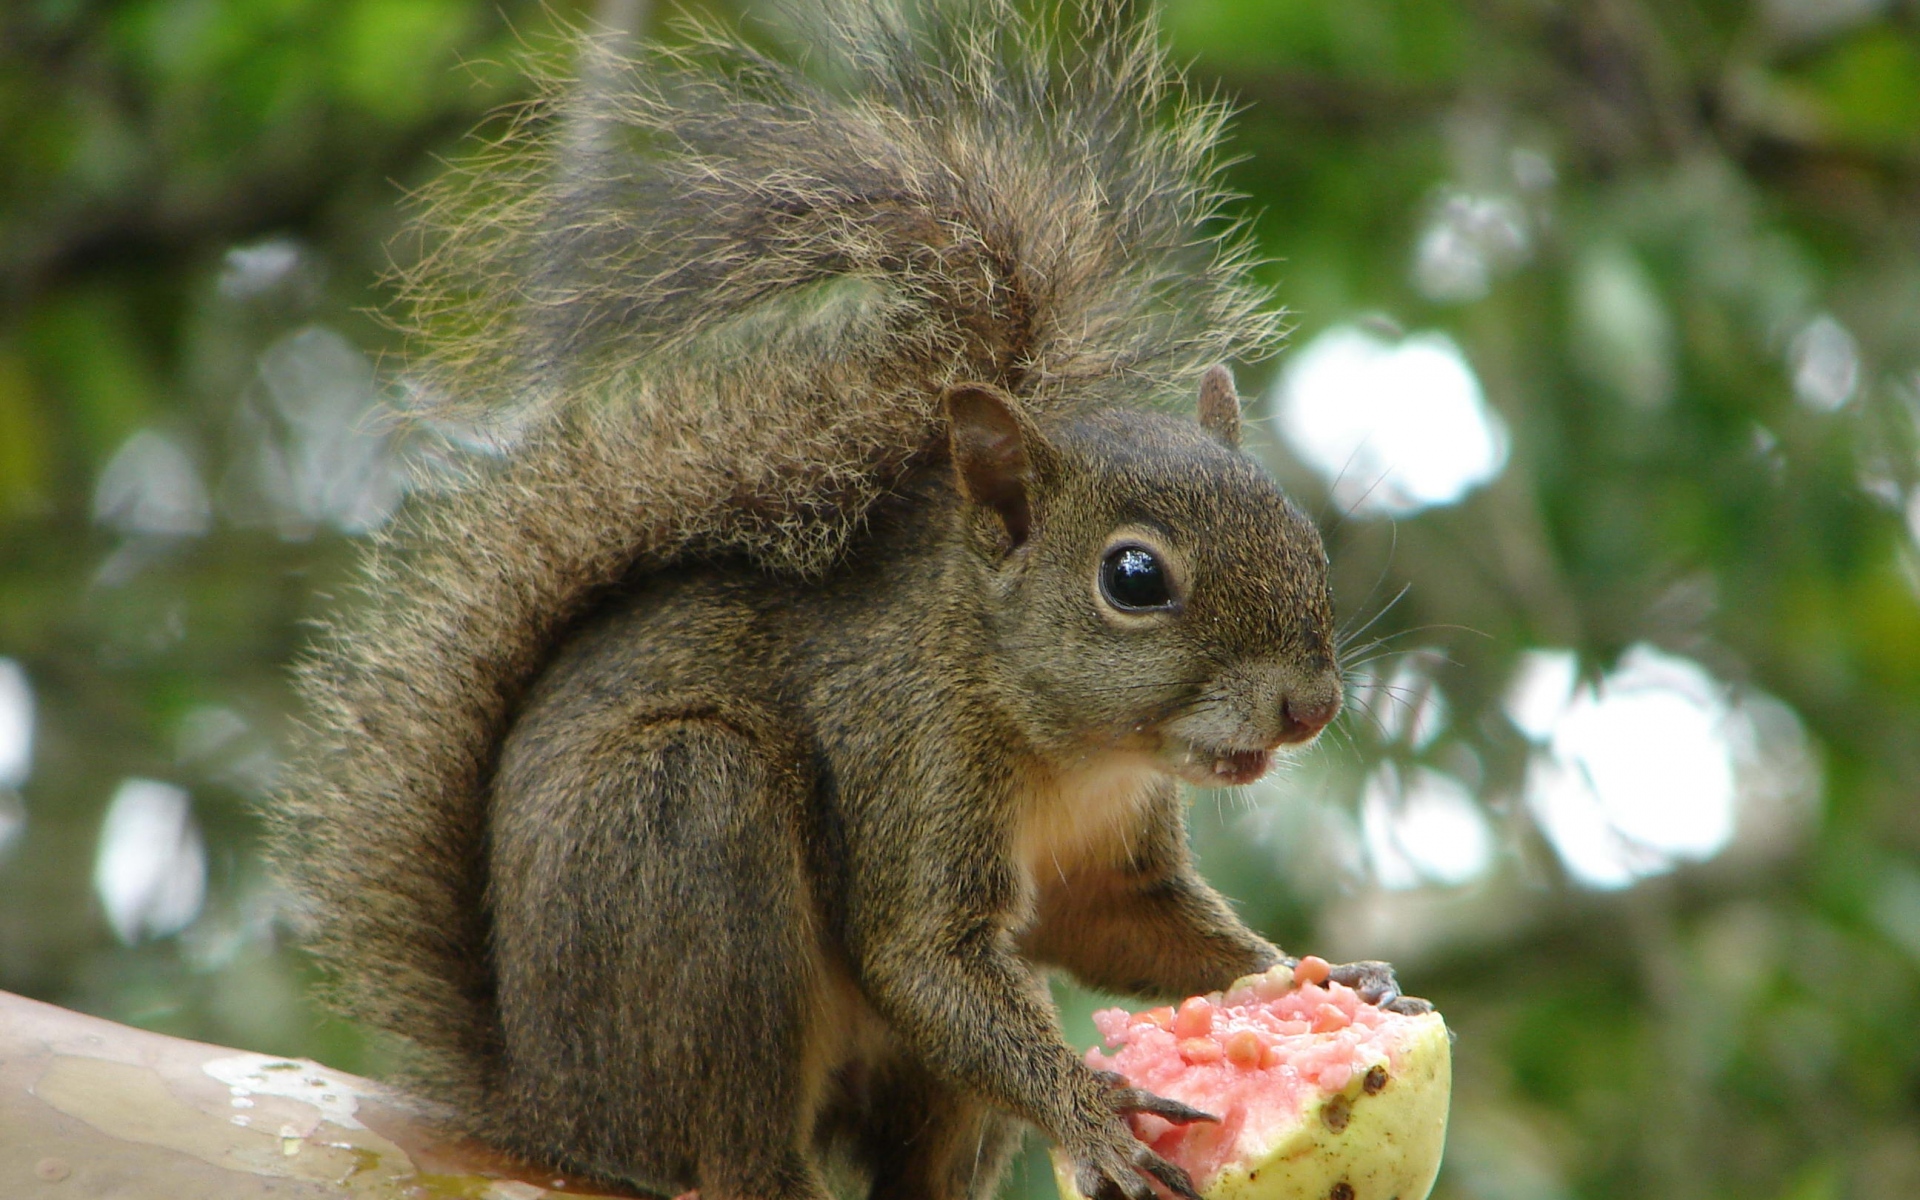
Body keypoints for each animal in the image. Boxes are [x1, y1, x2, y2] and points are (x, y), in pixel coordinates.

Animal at [265, 3, 1426, 1199]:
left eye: (1304, 538)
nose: (1310, 708)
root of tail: (543, 1107)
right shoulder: (909, 760)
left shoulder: (1110, 864)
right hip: (686, 831)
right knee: (727, 1142)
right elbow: (922, 961)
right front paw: (1094, 1110)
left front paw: (1333, 981)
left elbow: (1124, 925)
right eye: (1134, 579)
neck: (1073, 748)